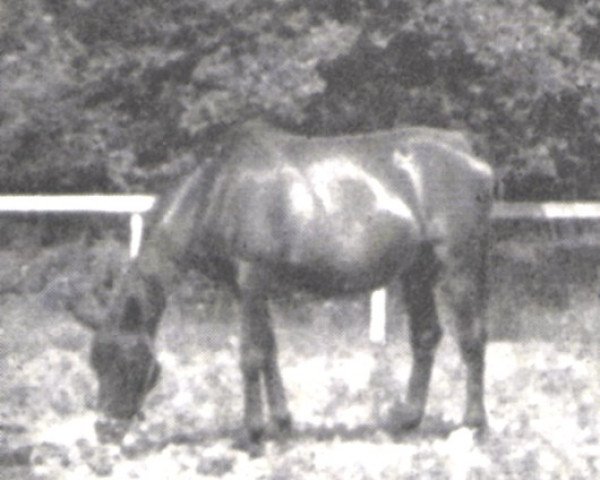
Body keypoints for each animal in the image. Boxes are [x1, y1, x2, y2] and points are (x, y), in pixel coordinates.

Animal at [72, 120, 492, 450]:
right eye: (95, 361)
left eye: (125, 362)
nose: (105, 431)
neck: (218, 190)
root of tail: (466, 151)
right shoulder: (250, 289)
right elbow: (270, 350)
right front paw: (282, 424)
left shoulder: (252, 280)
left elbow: (250, 355)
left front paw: (253, 433)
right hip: (416, 274)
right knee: (426, 337)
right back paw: (407, 421)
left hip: (458, 266)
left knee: (471, 338)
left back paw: (473, 425)